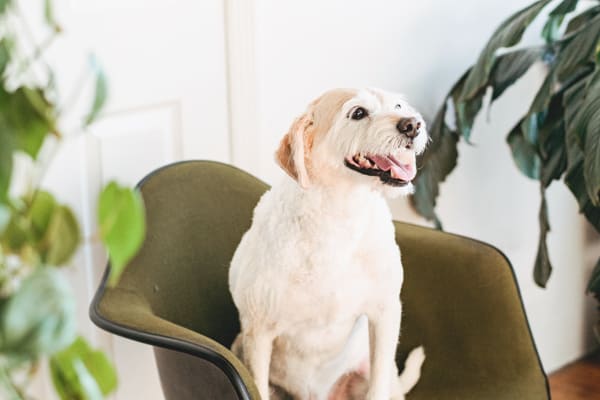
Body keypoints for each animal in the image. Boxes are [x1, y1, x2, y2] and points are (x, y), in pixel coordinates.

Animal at [229, 88, 426, 400]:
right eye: (358, 113)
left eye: (397, 105)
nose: (413, 125)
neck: (341, 214)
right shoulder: (258, 331)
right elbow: (256, 383)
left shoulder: (385, 313)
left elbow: (379, 382)